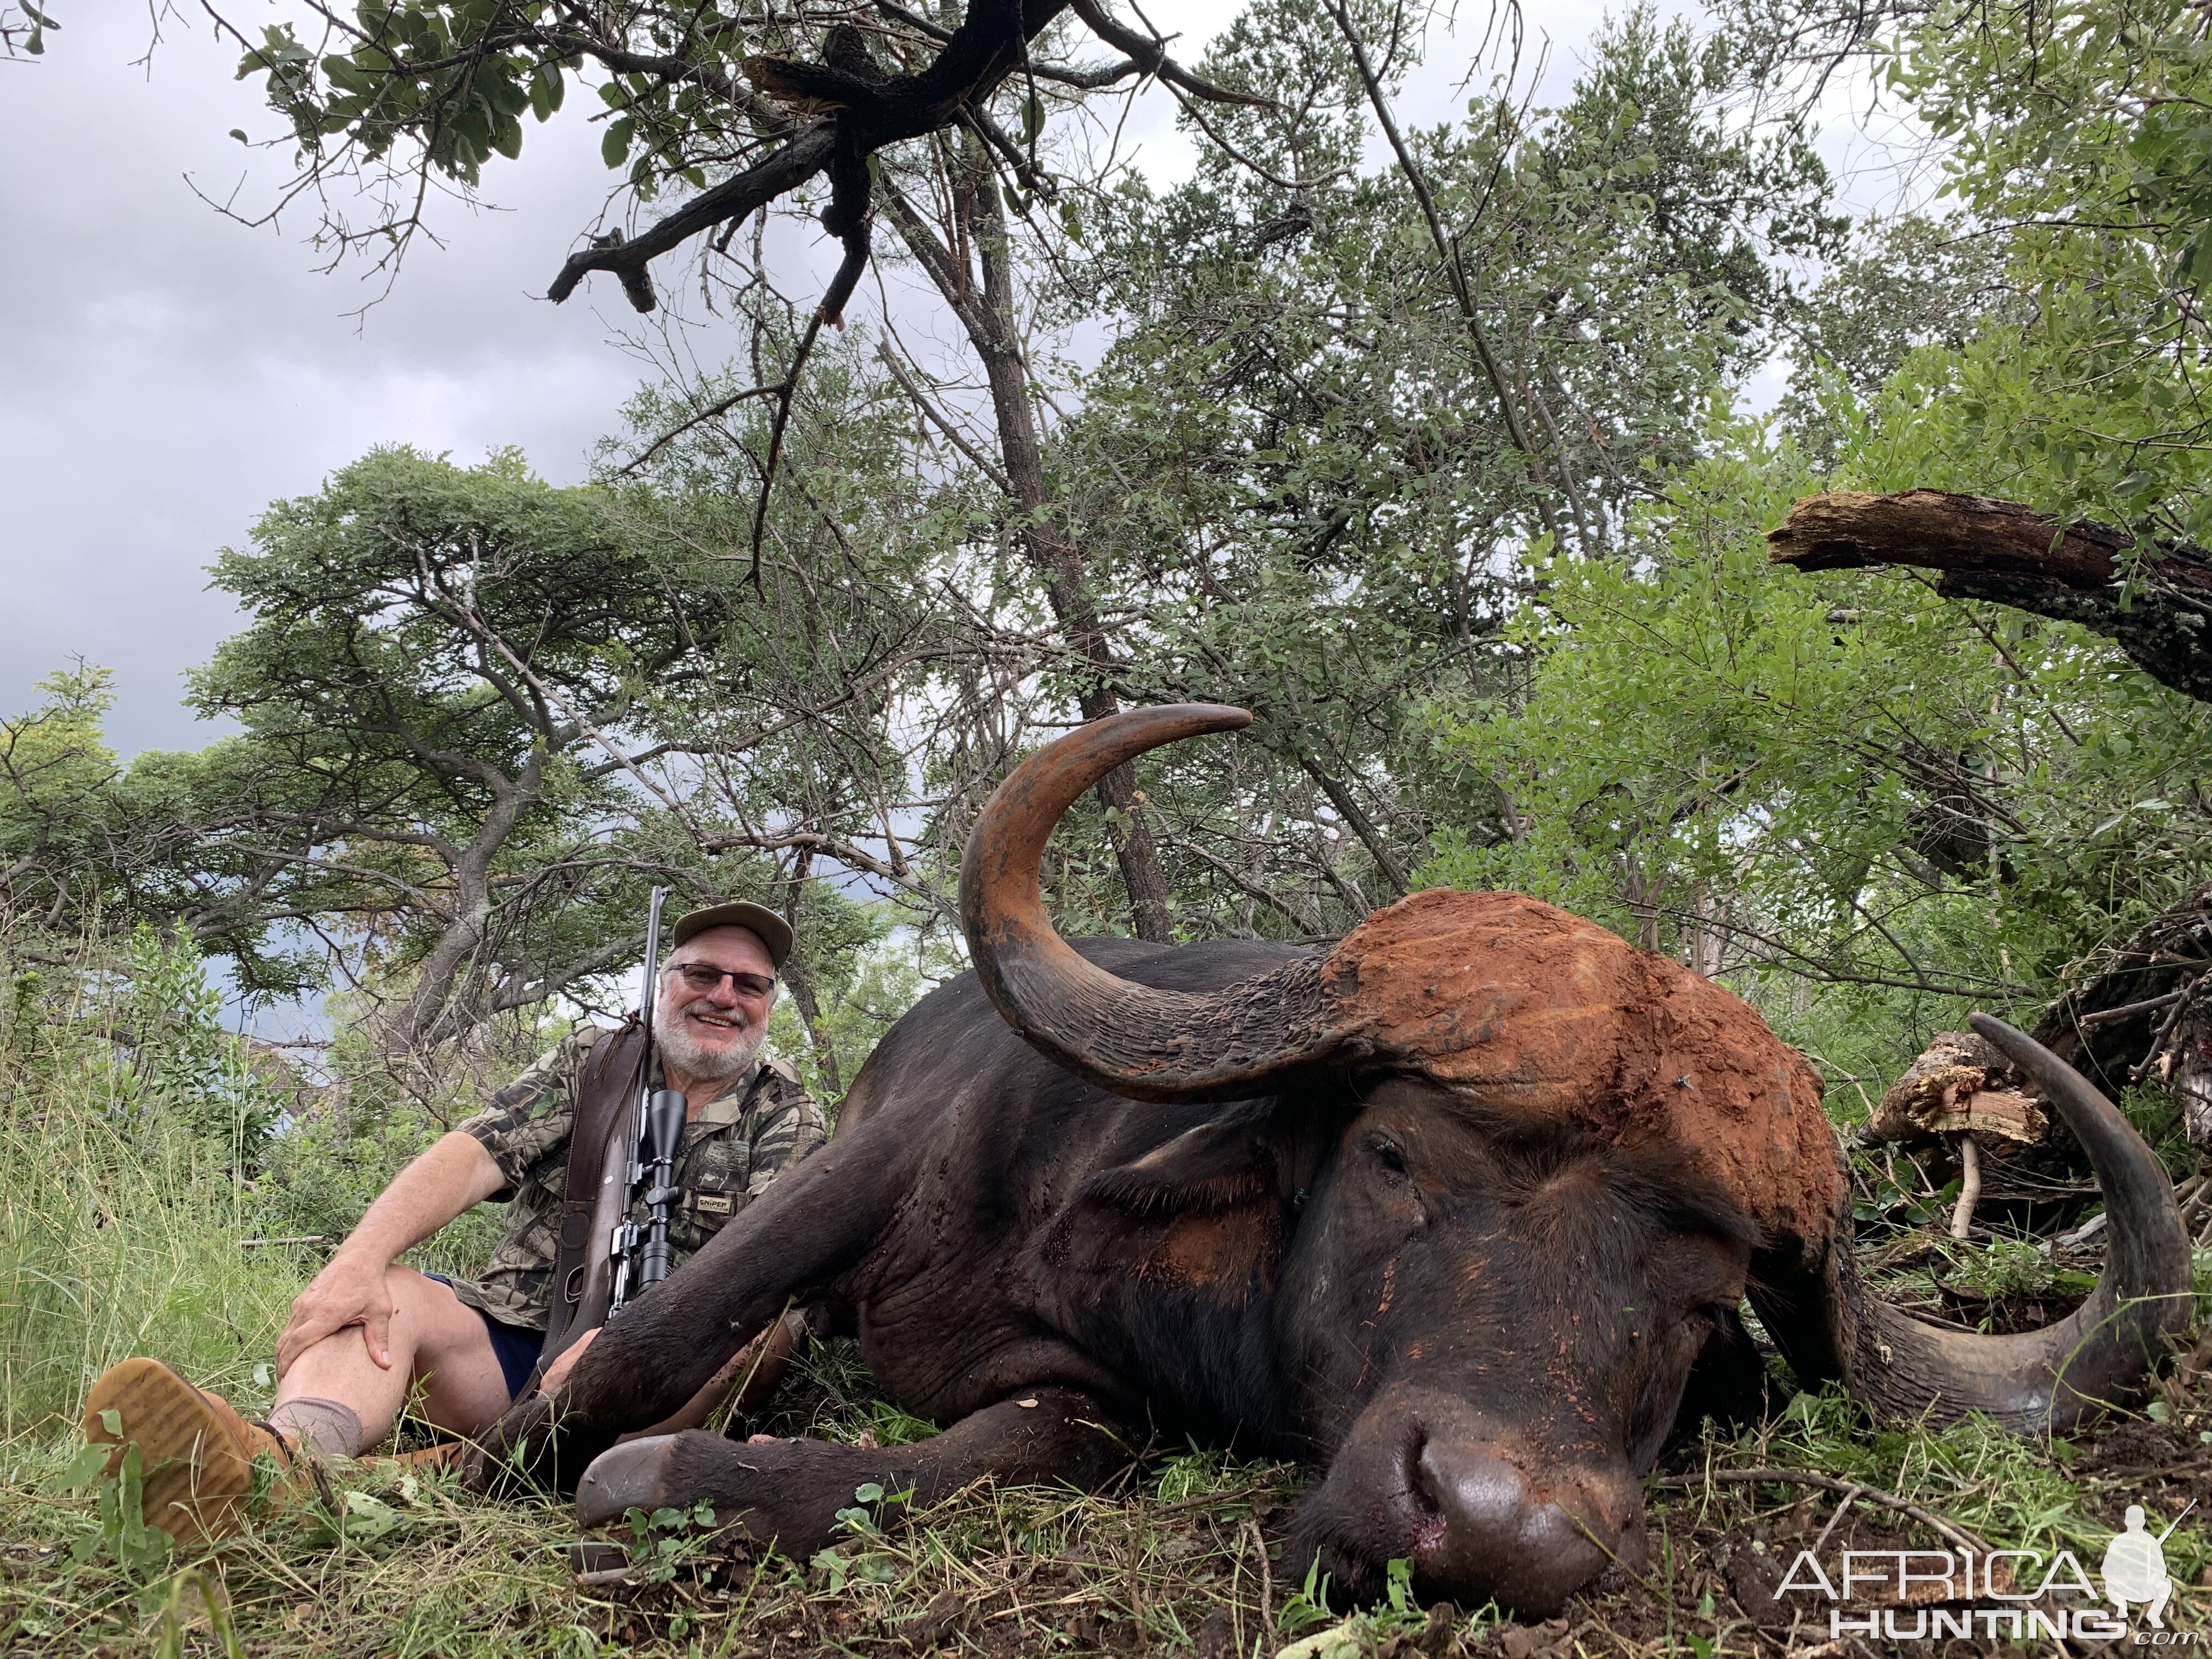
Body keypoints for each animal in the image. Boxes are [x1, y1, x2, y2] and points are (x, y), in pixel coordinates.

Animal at [471, 703, 2194, 1628]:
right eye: (1392, 1158)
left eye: (1709, 1305)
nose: (1488, 1529)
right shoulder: (869, 1166)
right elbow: (636, 1355)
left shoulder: (1091, 1408)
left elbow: (968, 1459)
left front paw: (698, 1478)